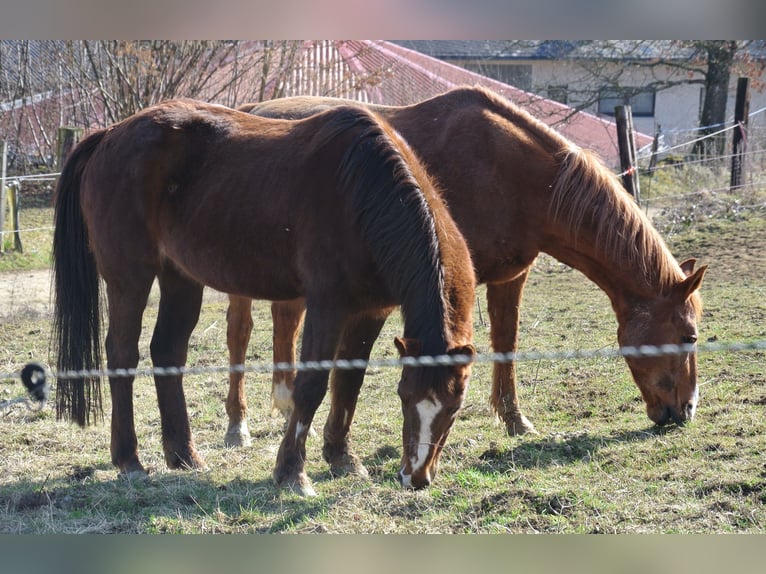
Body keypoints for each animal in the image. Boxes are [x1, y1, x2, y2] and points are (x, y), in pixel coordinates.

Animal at [51, 101, 476, 498]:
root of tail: (109, 135)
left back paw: (184, 455)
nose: (415, 477)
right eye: (405, 397)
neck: (363, 190)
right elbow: (312, 385)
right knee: (122, 354)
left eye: (454, 408)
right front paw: (292, 473)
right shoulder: (327, 305)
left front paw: (342, 457)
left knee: (167, 351)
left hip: (181, 278)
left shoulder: (373, 311)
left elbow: (349, 380)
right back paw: (129, 459)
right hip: (130, 278)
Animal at [220, 85, 708, 450]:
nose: (685, 411)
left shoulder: (511, 276)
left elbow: (506, 343)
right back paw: (237, 426)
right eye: (689, 337)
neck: (518, 175)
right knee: (240, 335)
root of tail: (253, 109)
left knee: (284, 323)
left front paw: (514, 420)